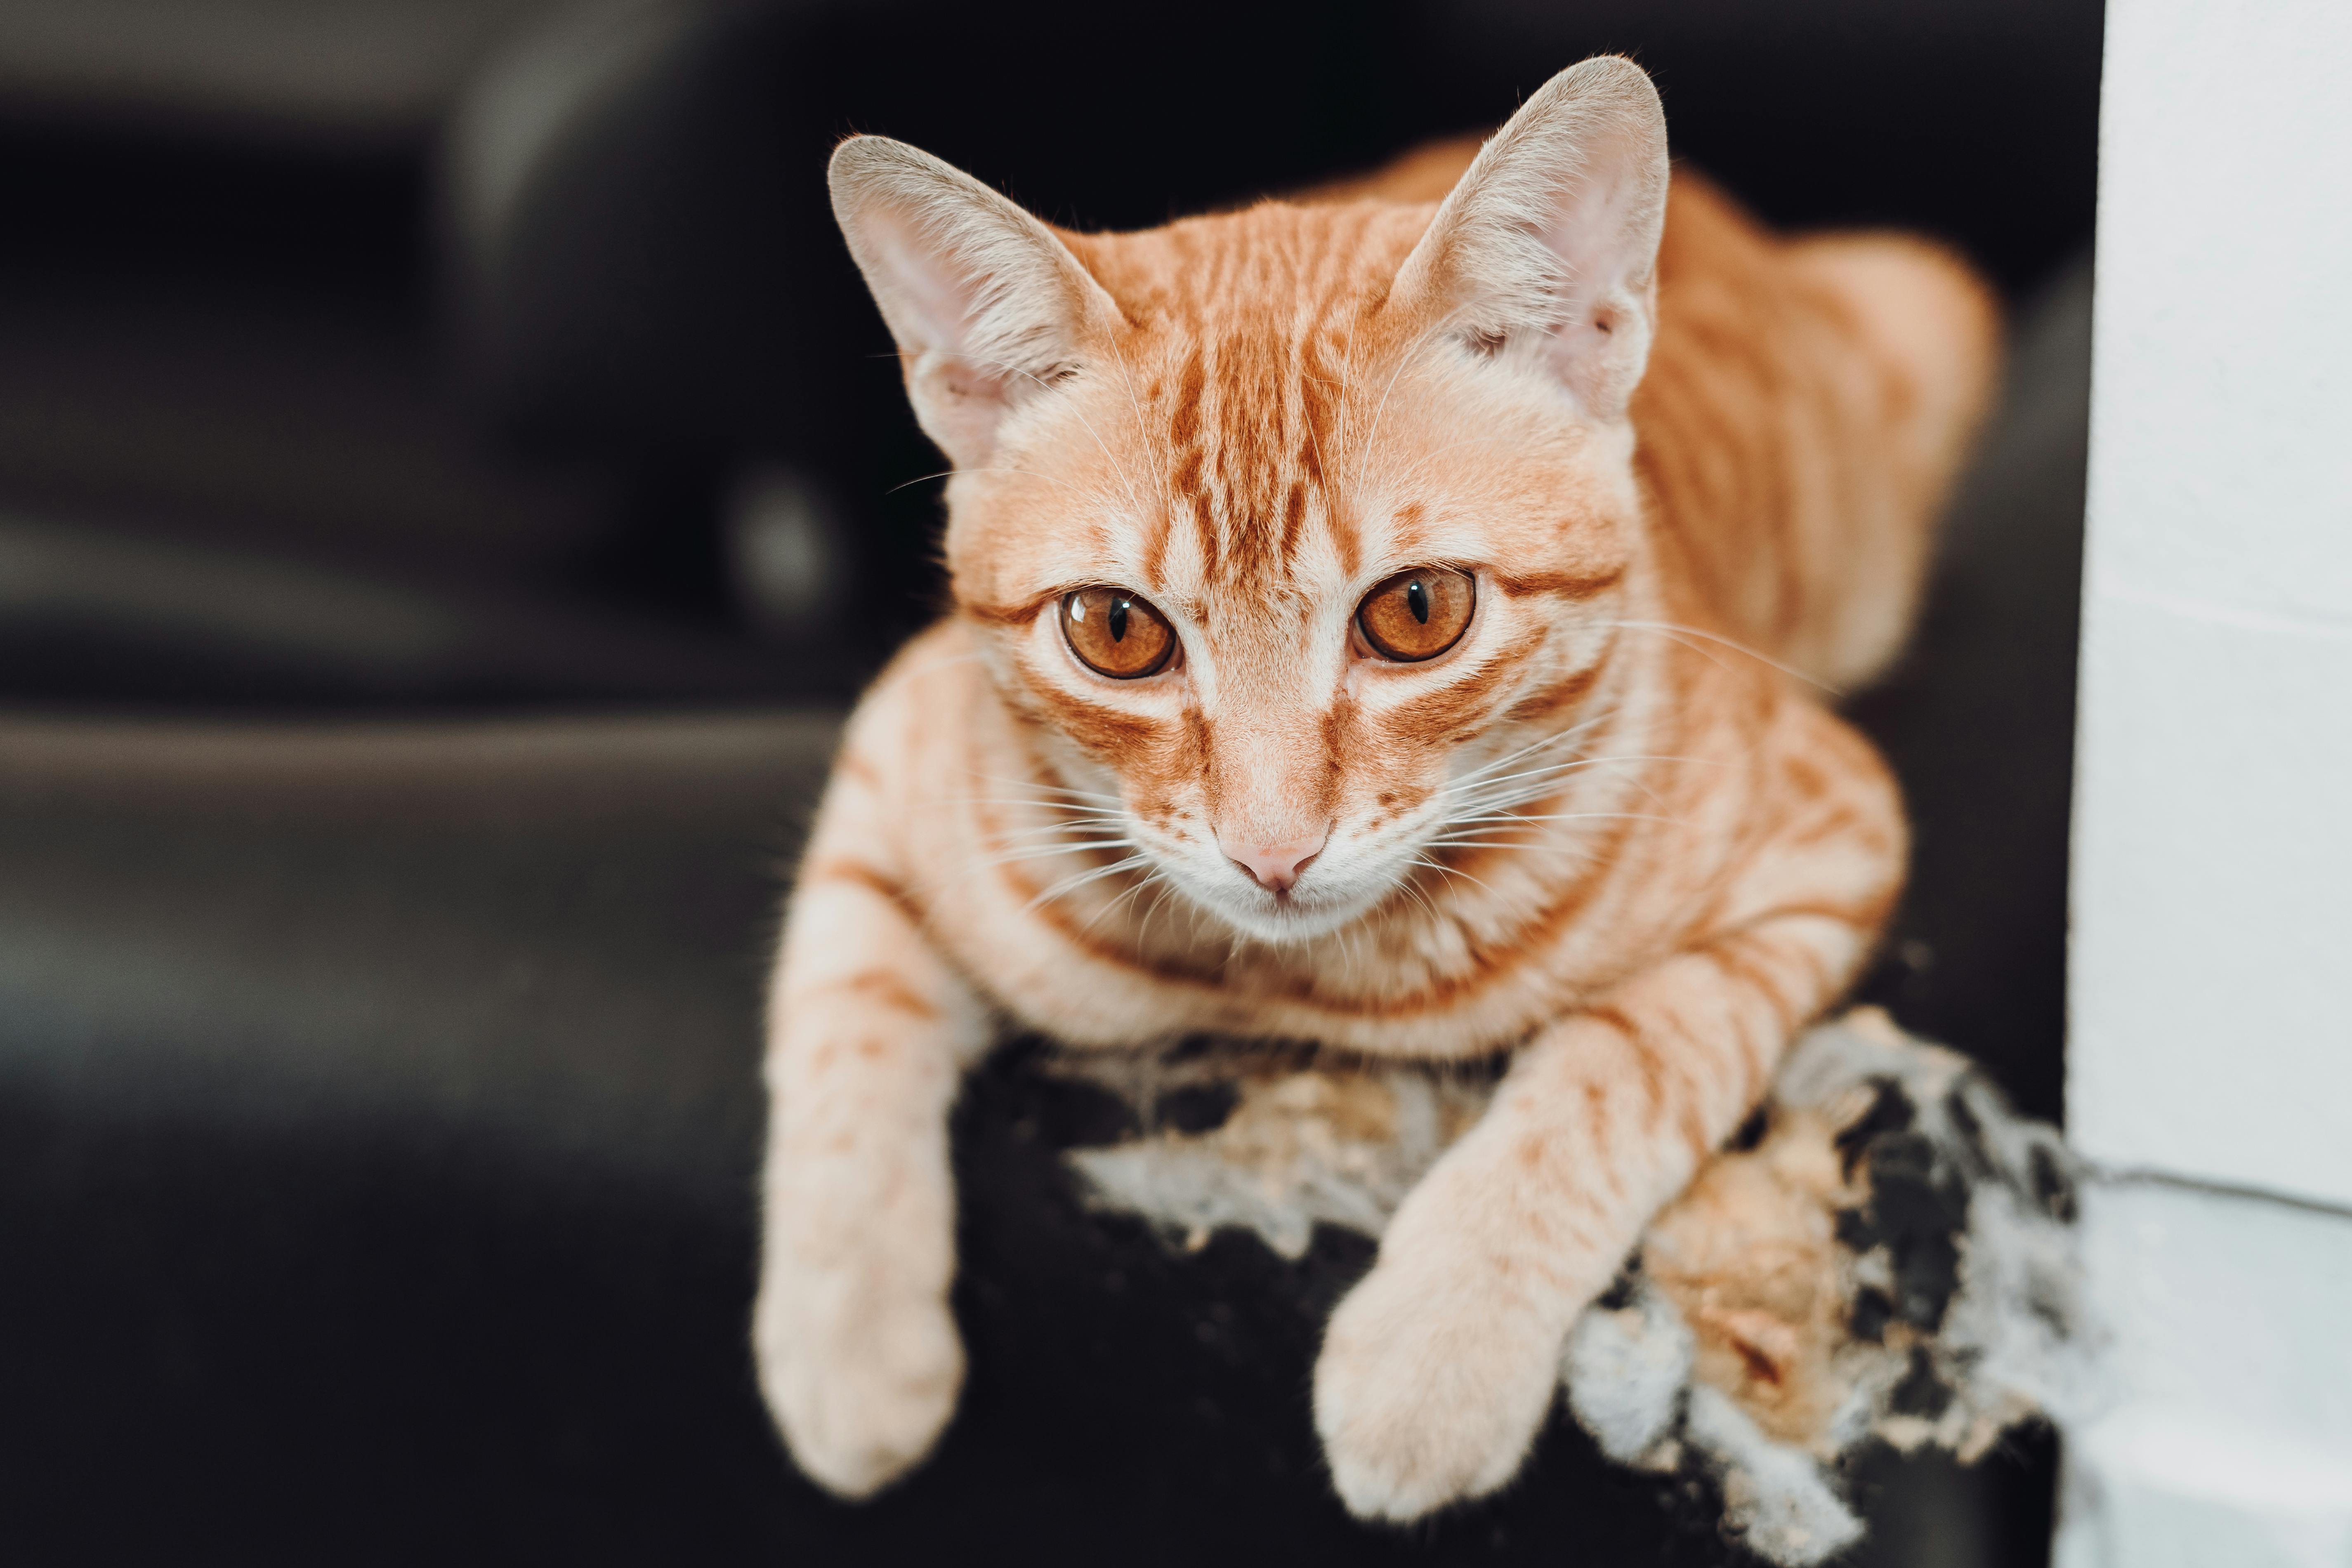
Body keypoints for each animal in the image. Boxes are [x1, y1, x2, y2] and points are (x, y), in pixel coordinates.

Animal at [748, 58, 1985, 1523]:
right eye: (1115, 630)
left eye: (1415, 614)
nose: (1270, 850)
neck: (1303, 989)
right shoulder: (891, 766)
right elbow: (841, 1030)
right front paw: (846, 1350)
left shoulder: (1827, 835)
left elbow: (1622, 1061)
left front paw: (1433, 1354)